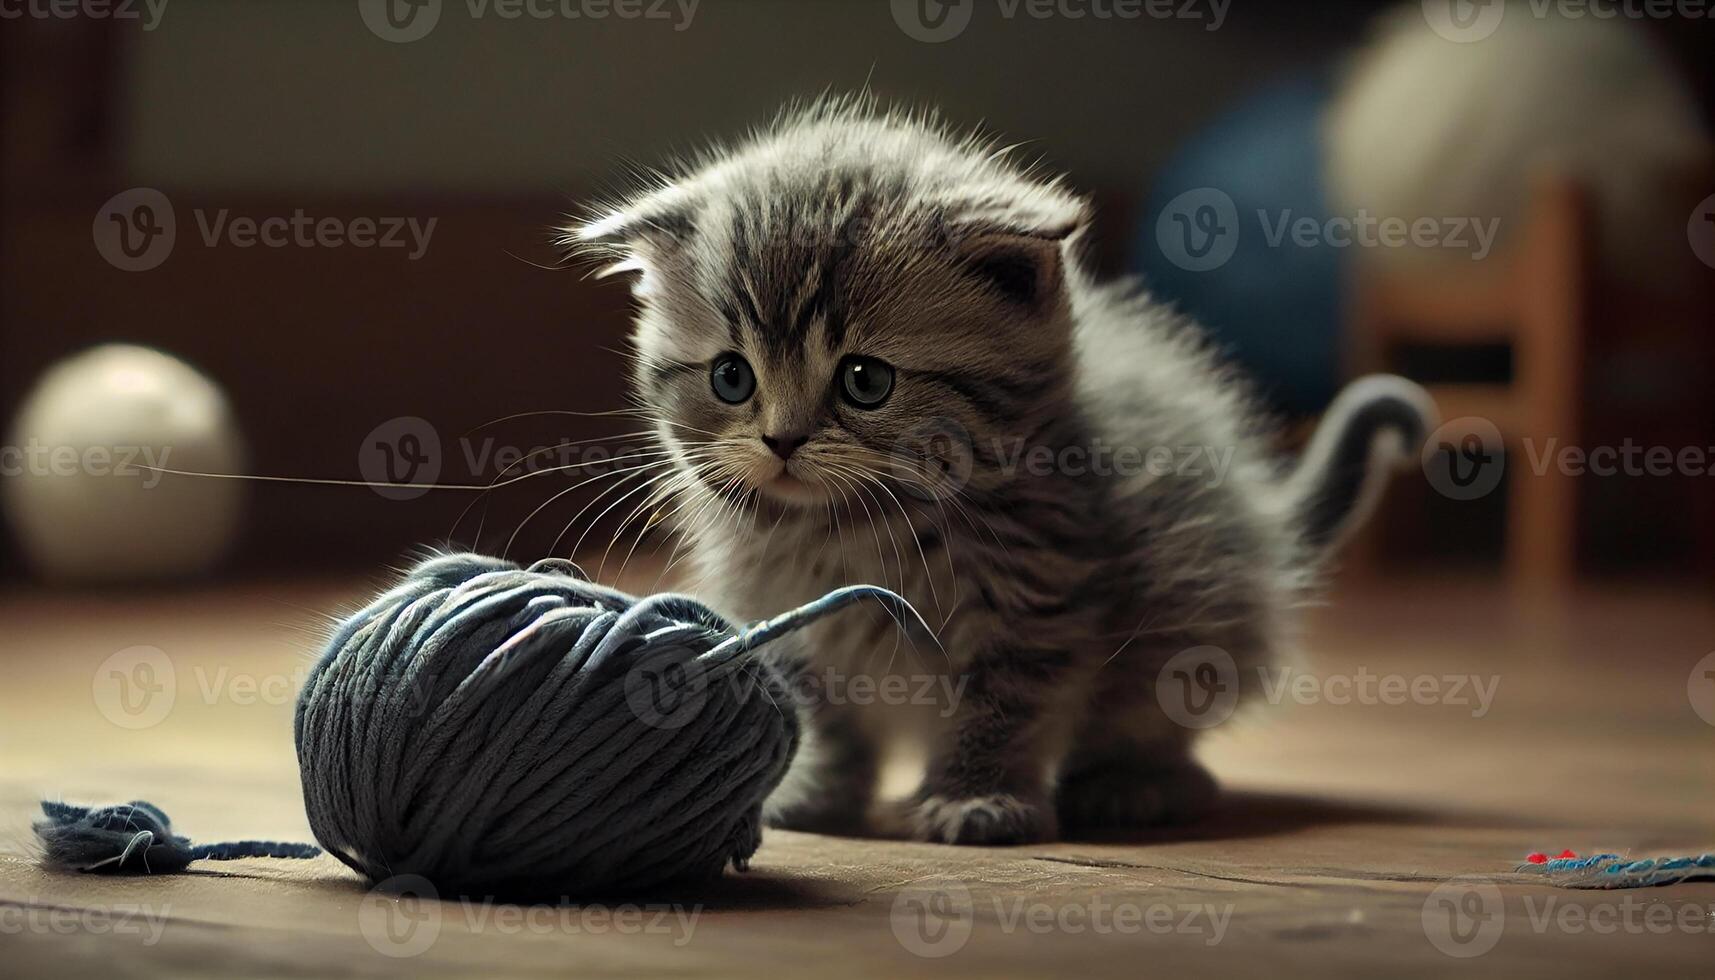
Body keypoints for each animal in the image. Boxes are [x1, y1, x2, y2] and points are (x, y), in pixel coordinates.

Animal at [576, 101, 1433, 851]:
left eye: (864, 381)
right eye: (731, 378)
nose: (782, 439)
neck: (852, 525)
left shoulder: (1039, 597)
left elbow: (1004, 701)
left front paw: (973, 798)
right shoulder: (780, 607)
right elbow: (823, 712)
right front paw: (818, 793)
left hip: (1194, 617)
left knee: (1160, 717)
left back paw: (1136, 783)